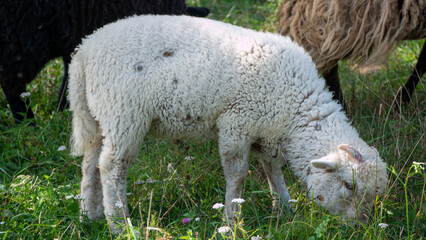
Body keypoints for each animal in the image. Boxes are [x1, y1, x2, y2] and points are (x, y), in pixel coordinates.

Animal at [69, 14, 390, 232]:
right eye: (348, 185)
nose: (359, 227)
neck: (296, 110)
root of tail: (83, 52)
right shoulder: (237, 122)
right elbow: (237, 173)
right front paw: (232, 219)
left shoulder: (266, 130)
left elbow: (273, 170)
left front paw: (284, 209)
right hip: (125, 113)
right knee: (111, 167)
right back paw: (119, 224)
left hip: (97, 117)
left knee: (89, 164)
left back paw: (89, 215)